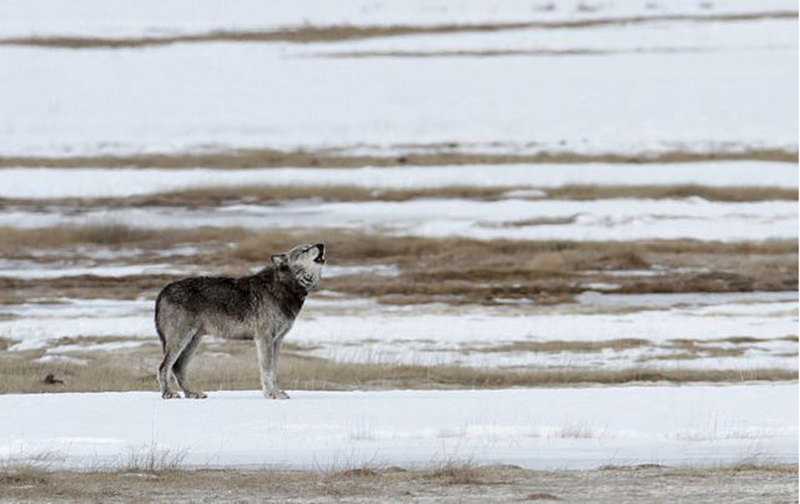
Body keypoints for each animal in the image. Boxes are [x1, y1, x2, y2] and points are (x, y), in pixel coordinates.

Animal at [155, 243, 325, 399]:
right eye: (305, 249)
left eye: (311, 245)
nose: (321, 245)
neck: (284, 286)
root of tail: (163, 290)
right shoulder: (264, 338)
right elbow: (267, 370)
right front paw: (271, 394)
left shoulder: (277, 341)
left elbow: (274, 370)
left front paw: (277, 392)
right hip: (181, 340)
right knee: (164, 367)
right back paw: (168, 393)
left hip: (193, 342)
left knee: (178, 368)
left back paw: (191, 393)